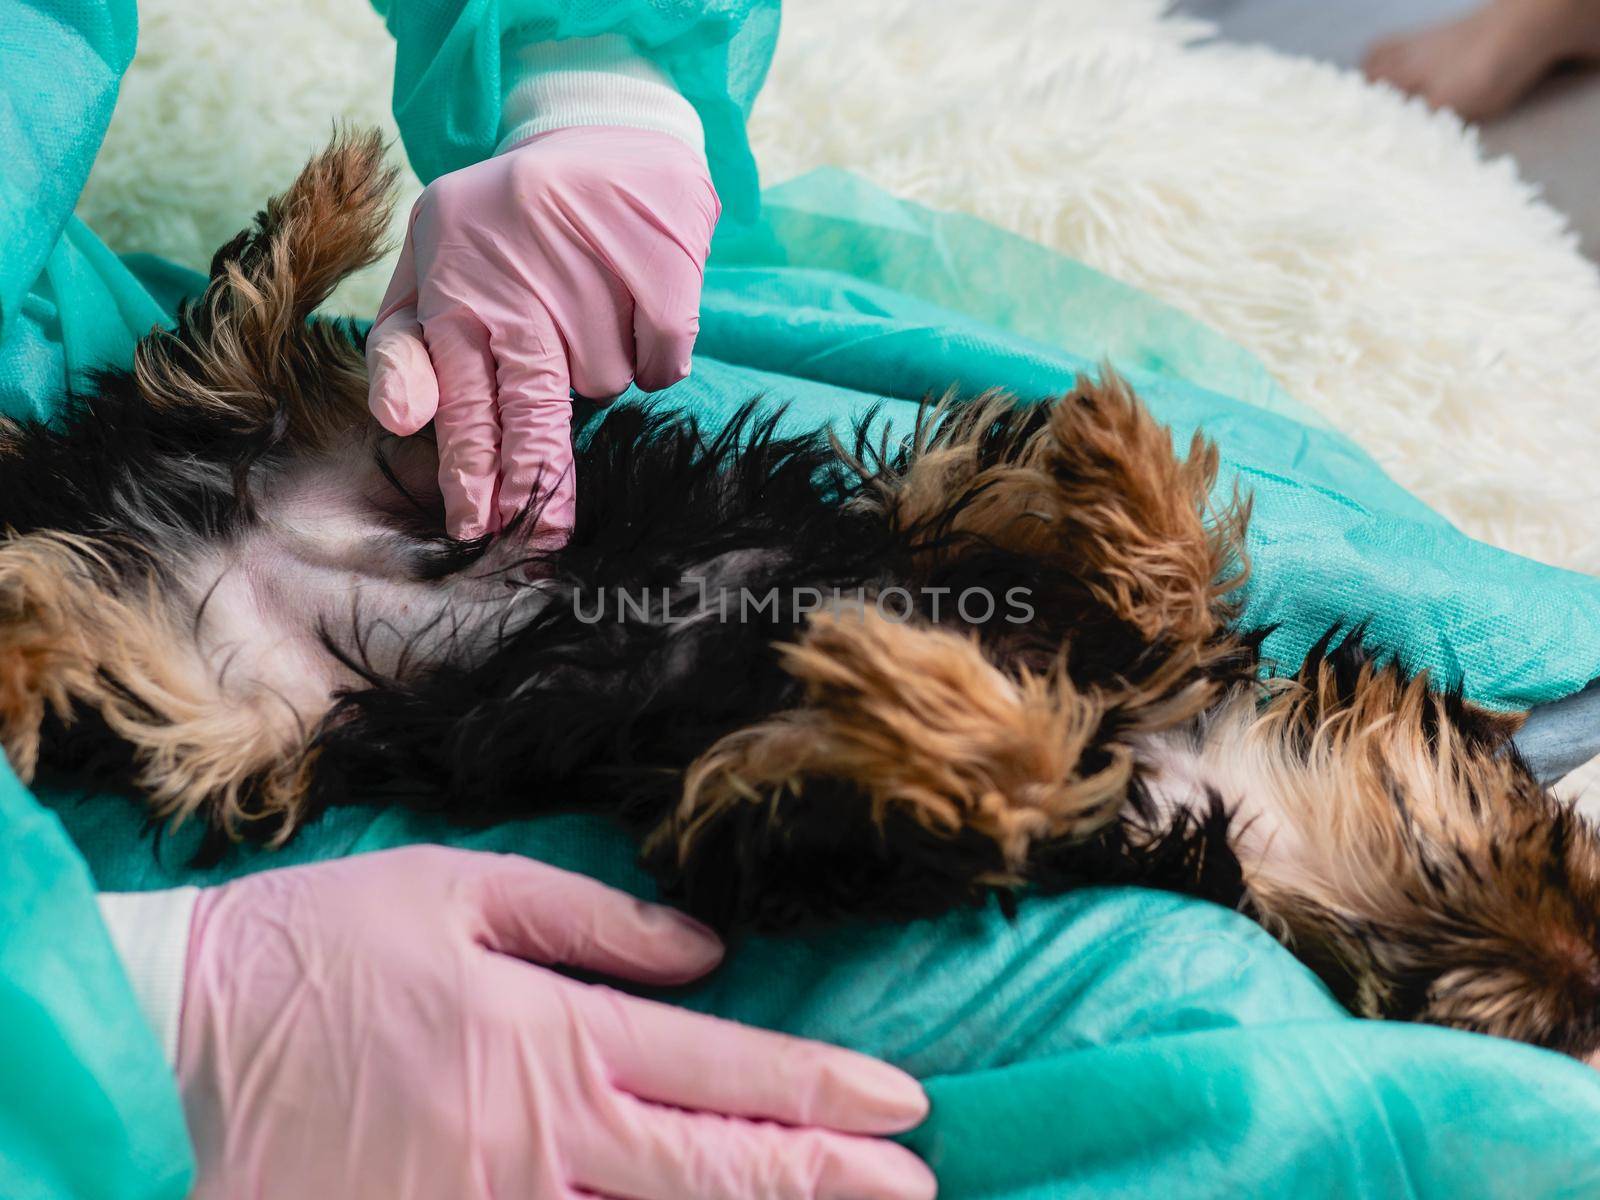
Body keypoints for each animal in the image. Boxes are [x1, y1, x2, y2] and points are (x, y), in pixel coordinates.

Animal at [6, 133, 1593, 1062]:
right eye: (1560, 851)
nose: (1580, 976)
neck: (1190, 775)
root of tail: (114, 499)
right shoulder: (958, 542)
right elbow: (1140, 580)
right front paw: (1125, 459)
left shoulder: (816, 823)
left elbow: (998, 760)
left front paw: (922, 686)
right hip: (384, 450)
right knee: (232, 348)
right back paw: (334, 211)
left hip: (227, 705)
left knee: (84, 599)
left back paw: (25, 654)